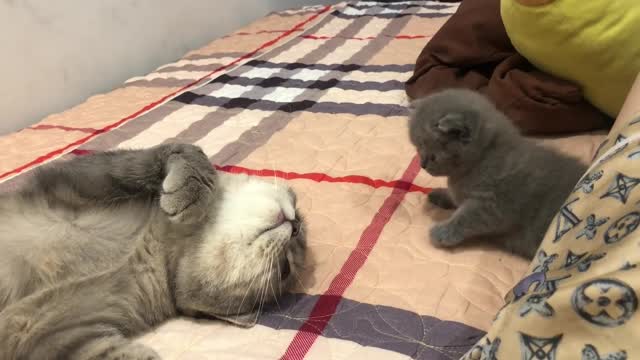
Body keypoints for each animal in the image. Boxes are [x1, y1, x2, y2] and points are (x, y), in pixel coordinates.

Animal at [0, 143, 308, 360]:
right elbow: (171, 153)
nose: (296, 227)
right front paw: (191, 192)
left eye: (284, 269)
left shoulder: (49, 333)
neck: (155, 248)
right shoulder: (79, 180)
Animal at [410, 89, 584, 258]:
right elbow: (456, 198)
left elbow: (465, 219)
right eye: (418, 148)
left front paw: (442, 232)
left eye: (433, 156)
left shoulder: (493, 205)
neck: (483, 158)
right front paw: (440, 194)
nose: (422, 165)